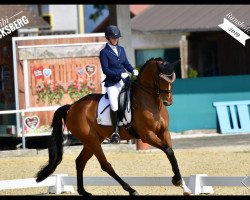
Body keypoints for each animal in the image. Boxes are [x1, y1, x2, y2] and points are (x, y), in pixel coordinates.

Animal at [35, 56, 191, 195]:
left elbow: (171, 153)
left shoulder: (164, 132)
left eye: (173, 79)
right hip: (92, 141)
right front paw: (177, 181)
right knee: (105, 165)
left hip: (92, 141)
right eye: (161, 78)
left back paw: (84, 192)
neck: (151, 102)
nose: (168, 102)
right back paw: (131, 190)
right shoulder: (147, 135)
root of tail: (71, 107)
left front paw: (183, 186)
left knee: (80, 162)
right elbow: (168, 151)